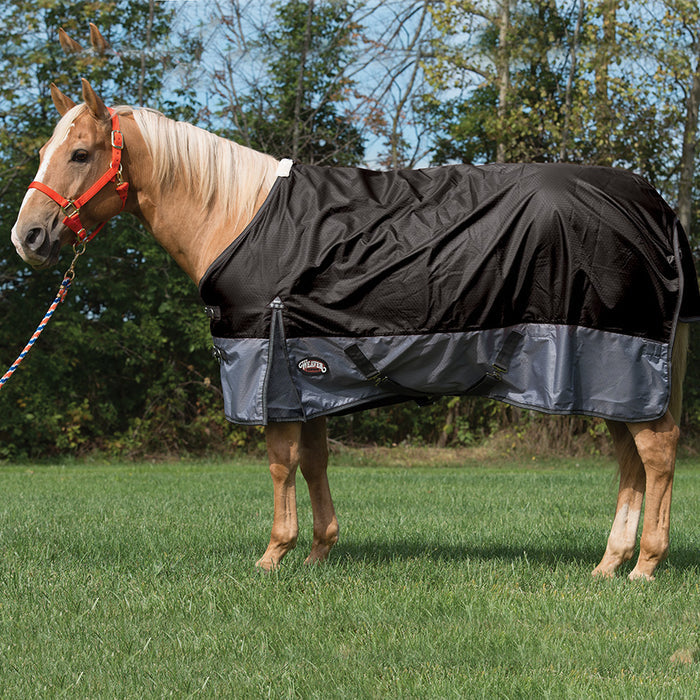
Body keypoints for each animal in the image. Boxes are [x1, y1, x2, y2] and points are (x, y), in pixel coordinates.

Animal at [11, 78, 697, 581]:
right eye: (44, 152)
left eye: (80, 153)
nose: (28, 237)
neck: (239, 216)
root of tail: (657, 209)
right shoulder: (307, 372)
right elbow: (314, 461)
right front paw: (318, 551)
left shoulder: (268, 367)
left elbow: (281, 464)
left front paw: (272, 556)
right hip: (610, 375)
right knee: (630, 461)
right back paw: (609, 564)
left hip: (620, 362)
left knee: (656, 455)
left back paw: (645, 567)